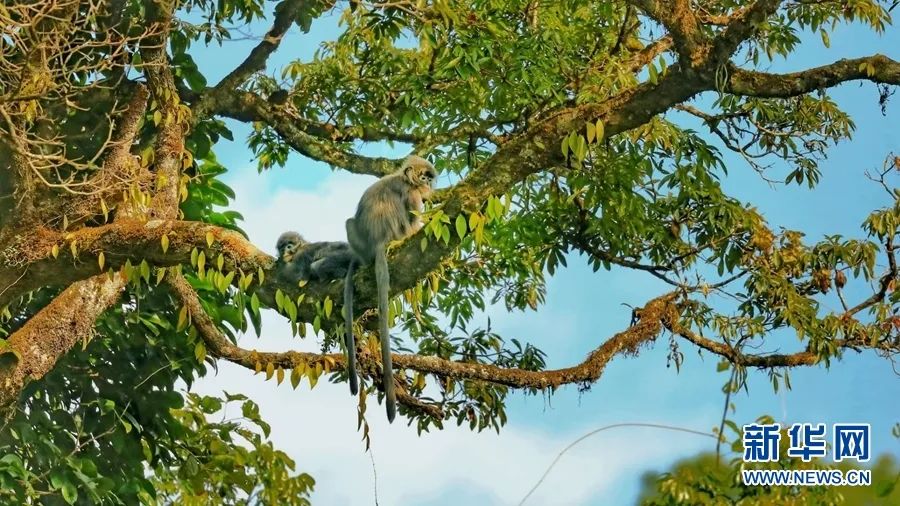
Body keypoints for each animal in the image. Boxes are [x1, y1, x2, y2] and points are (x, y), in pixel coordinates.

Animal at [342, 155, 438, 422]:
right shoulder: (413, 194)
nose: (428, 183)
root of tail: (379, 241)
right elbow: (416, 217)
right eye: (424, 177)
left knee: (349, 222)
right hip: (402, 233)